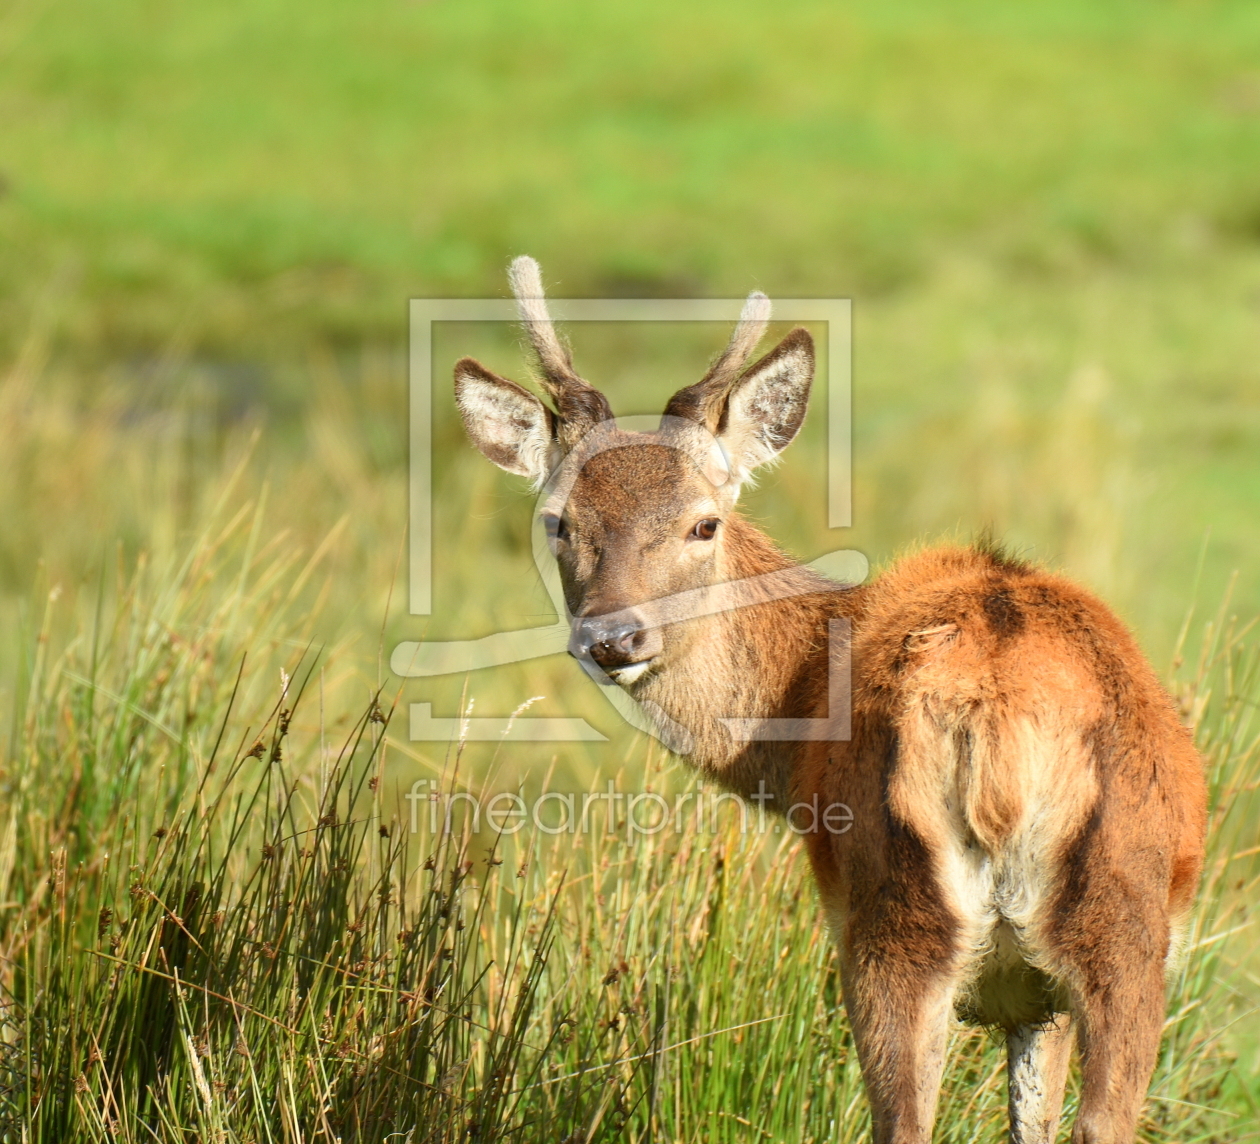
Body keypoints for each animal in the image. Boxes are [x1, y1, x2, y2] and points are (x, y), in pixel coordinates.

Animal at [453, 259, 1209, 1144]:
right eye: (558, 522)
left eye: (704, 524)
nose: (614, 637)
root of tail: (994, 720)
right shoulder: (1032, 995)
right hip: (1071, 923)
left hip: (943, 911)